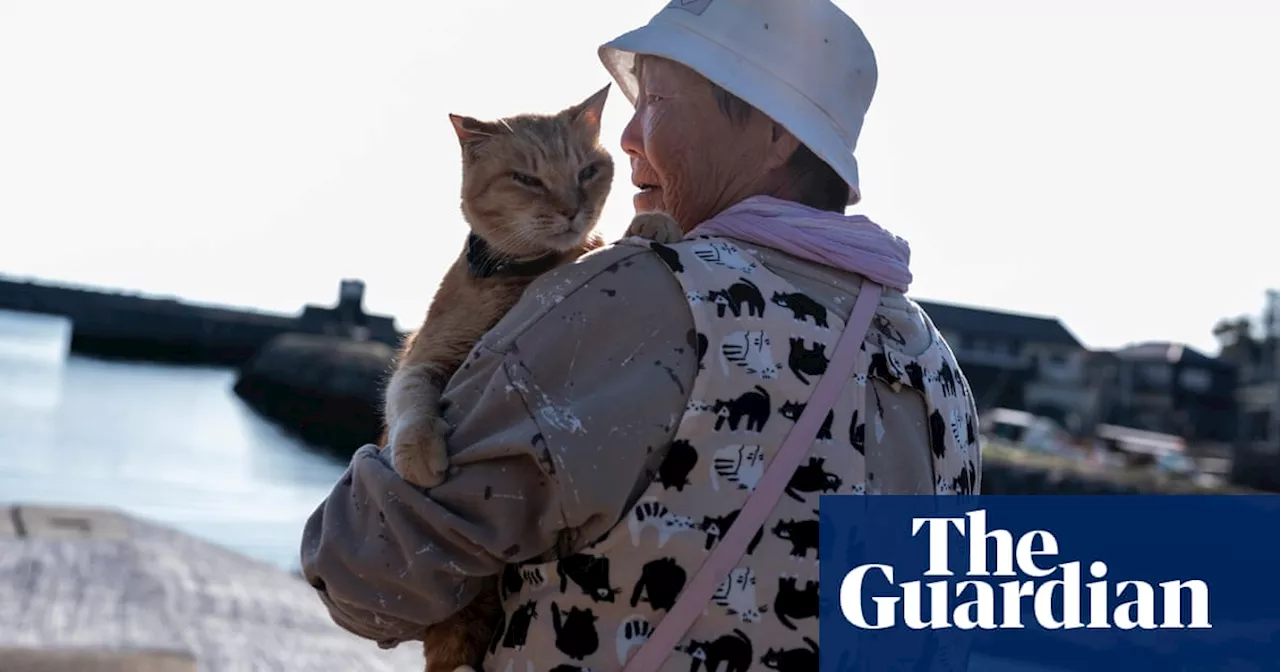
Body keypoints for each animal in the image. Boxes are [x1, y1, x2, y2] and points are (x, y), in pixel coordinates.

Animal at [378, 85, 680, 670]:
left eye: (587, 171)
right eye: (527, 179)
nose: (570, 208)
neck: (527, 273)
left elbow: (613, 238)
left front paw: (653, 222)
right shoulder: (423, 353)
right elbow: (410, 397)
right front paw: (420, 453)